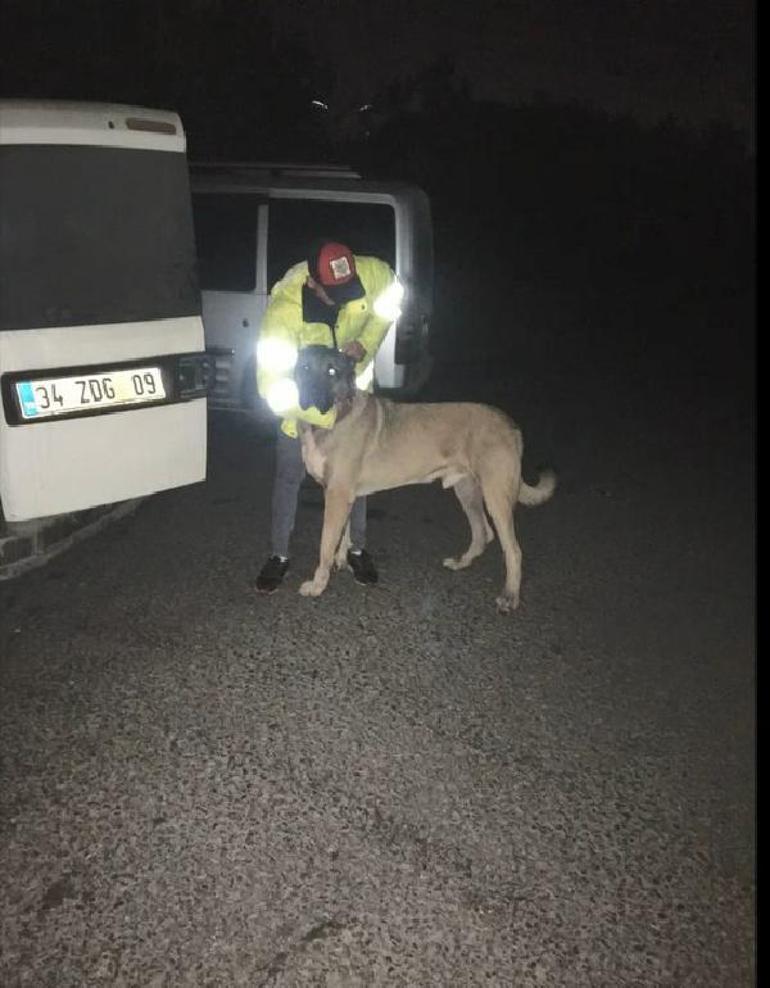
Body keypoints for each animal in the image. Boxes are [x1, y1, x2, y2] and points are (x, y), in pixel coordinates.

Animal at [292, 346, 552, 608]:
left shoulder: (337, 495)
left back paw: (510, 595)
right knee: (483, 533)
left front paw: (318, 585)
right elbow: (342, 536)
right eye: (304, 367)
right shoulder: (344, 496)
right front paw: (341, 561)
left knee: (513, 550)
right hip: (467, 490)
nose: (310, 396)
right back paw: (462, 562)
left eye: (332, 371)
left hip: (495, 495)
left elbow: (325, 544)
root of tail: (510, 424)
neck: (338, 413)